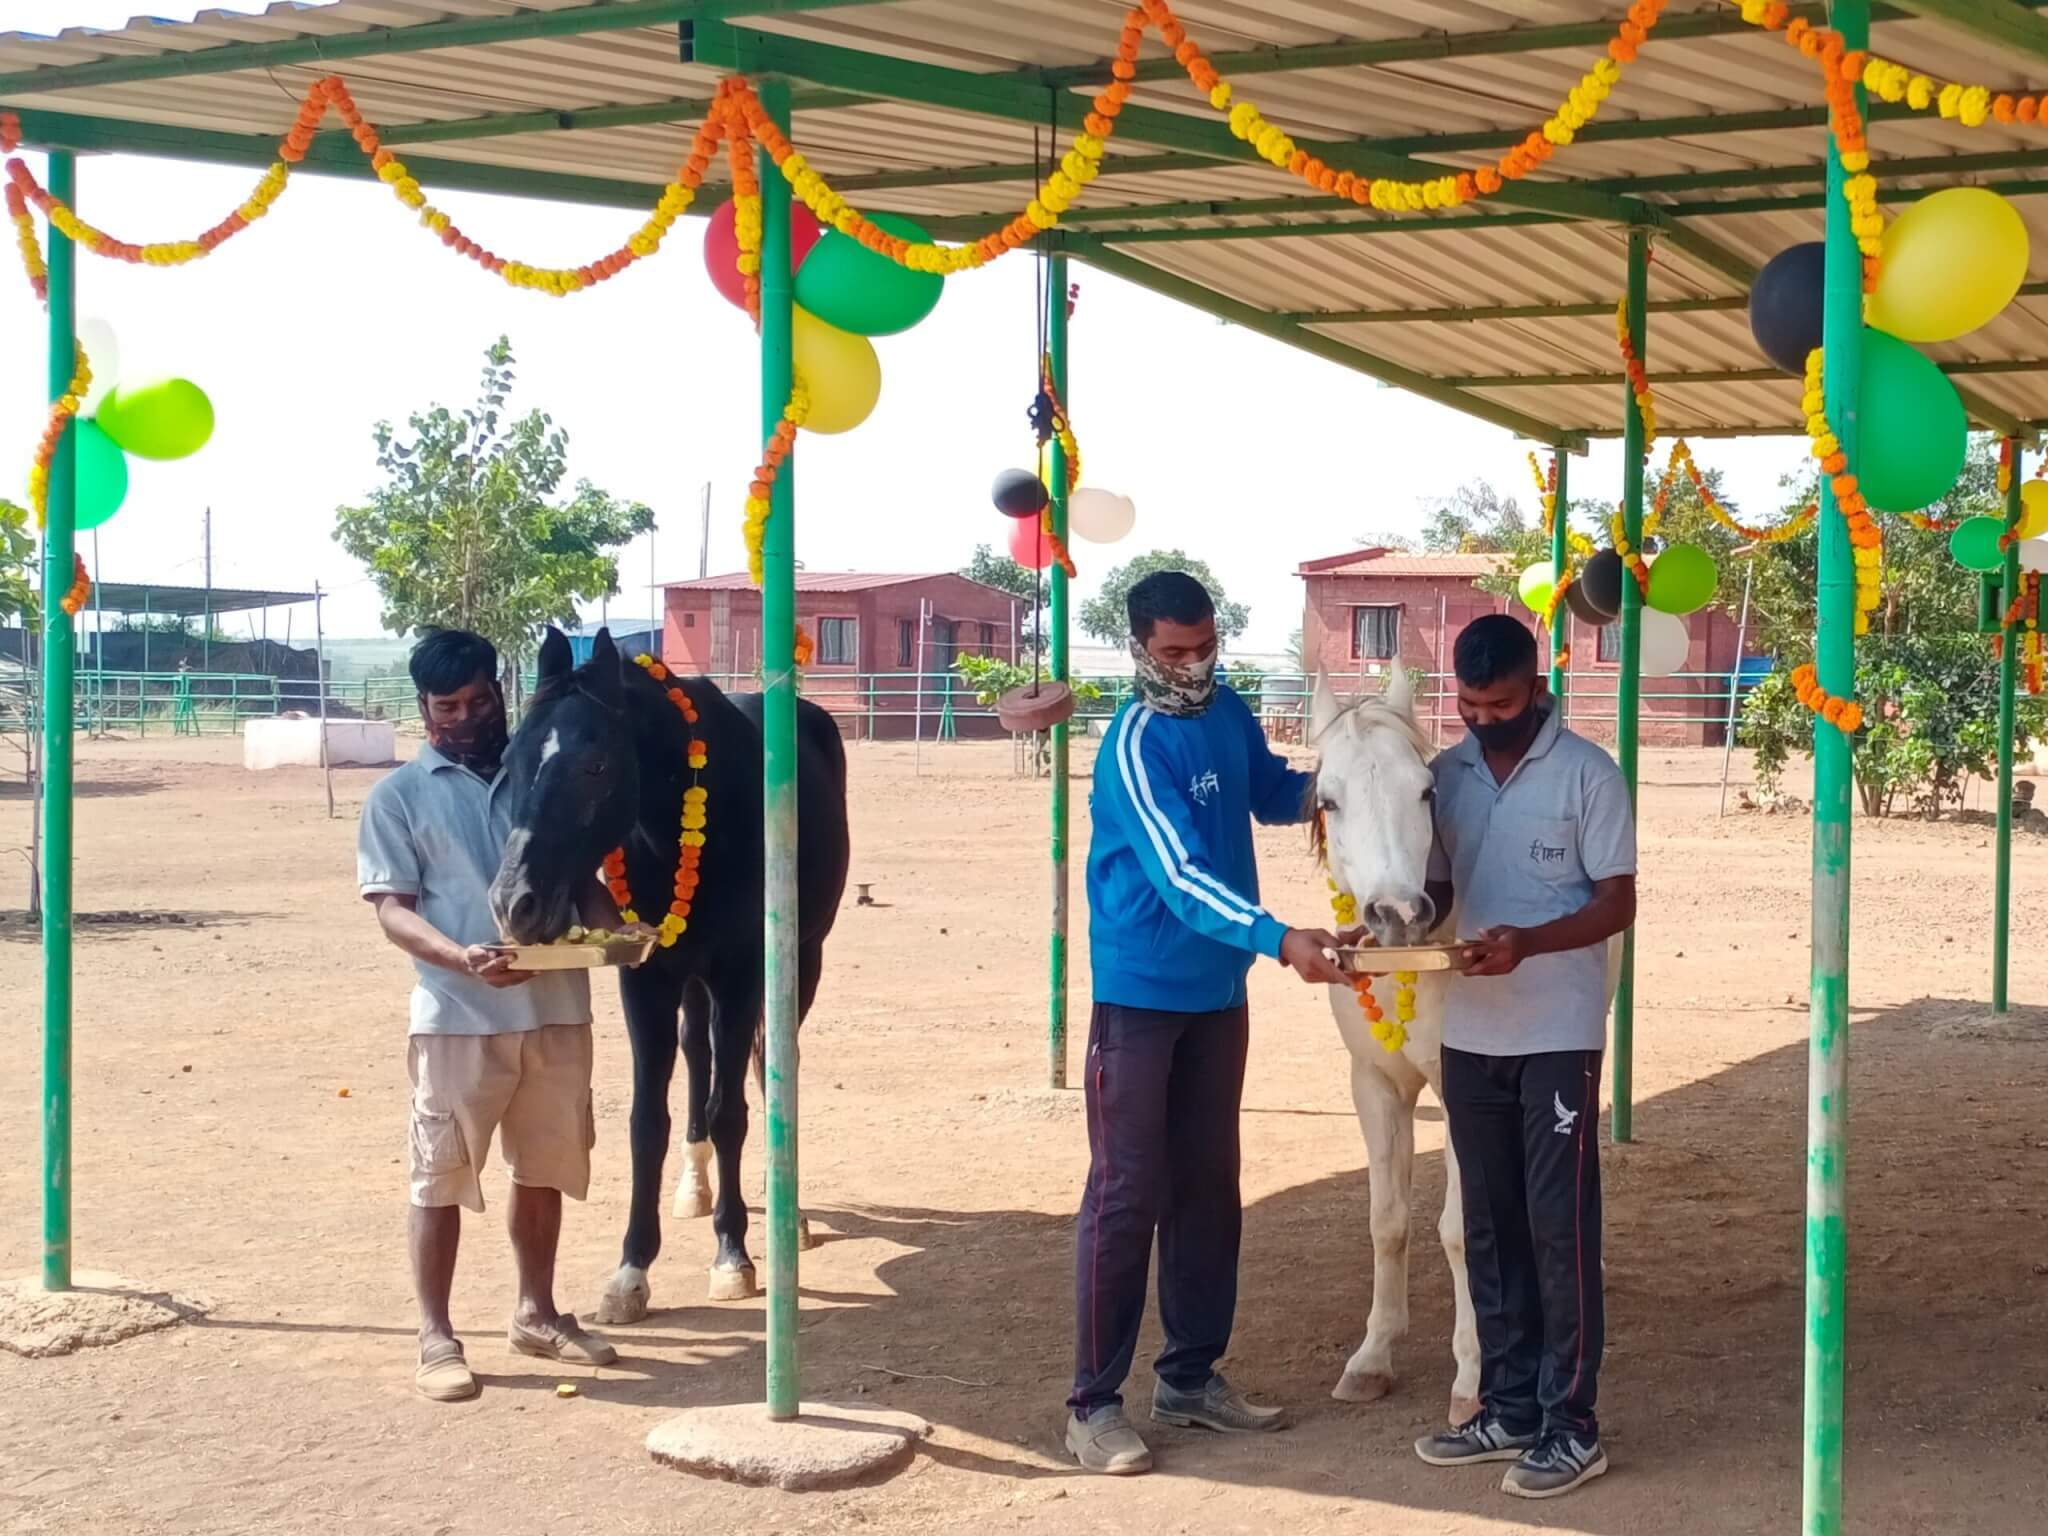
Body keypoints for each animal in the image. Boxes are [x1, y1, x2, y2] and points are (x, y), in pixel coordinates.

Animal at [495, 630, 847, 1318]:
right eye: (510, 757)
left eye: (595, 765)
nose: (514, 903)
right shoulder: (647, 979)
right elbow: (645, 1123)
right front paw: (631, 1272)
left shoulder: (741, 974)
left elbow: (732, 1111)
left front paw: (734, 1255)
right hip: (693, 982)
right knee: (697, 1052)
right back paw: (695, 1185)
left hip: (801, 960)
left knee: (771, 1066)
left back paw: (788, 1213)